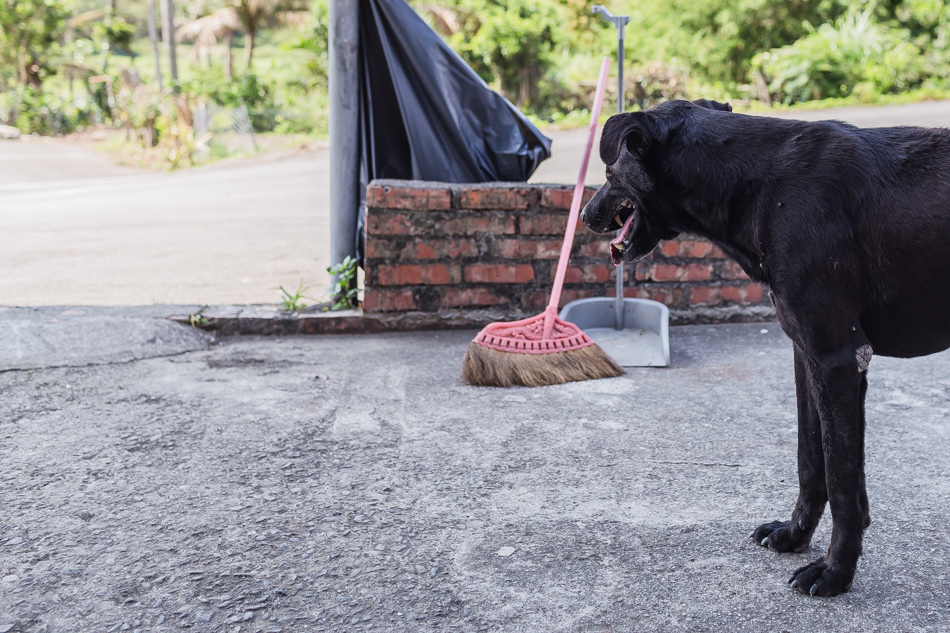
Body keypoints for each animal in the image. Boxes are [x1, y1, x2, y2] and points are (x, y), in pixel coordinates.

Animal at [584, 100, 950, 596]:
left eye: (609, 171)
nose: (585, 216)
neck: (757, 182)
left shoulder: (836, 357)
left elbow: (840, 477)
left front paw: (836, 571)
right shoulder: (807, 354)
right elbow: (812, 461)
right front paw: (795, 535)